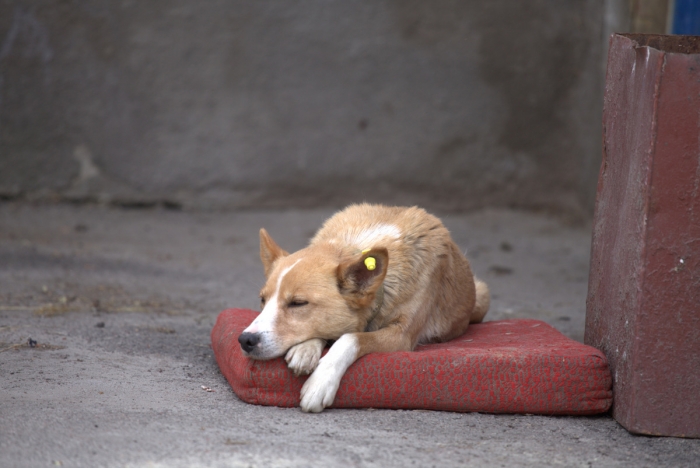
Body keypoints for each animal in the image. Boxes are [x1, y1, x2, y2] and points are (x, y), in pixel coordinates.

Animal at [238, 205, 490, 414]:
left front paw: (321, 381)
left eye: (298, 303)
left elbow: (351, 338)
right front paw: (305, 350)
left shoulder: (401, 337)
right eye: (263, 300)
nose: (245, 340)